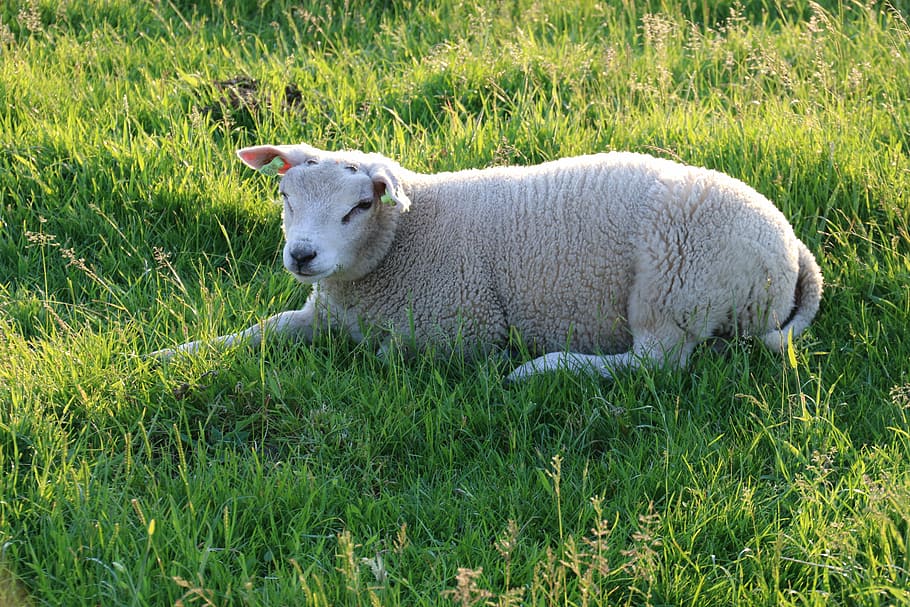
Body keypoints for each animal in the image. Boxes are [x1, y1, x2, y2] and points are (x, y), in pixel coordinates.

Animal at [154, 143, 823, 382]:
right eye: (285, 196)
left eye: (359, 206)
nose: (302, 255)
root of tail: (794, 252)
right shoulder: (320, 312)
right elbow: (259, 330)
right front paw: (166, 356)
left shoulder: (457, 329)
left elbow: (387, 356)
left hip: (674, 286)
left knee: (655, 364)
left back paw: (541, 368)